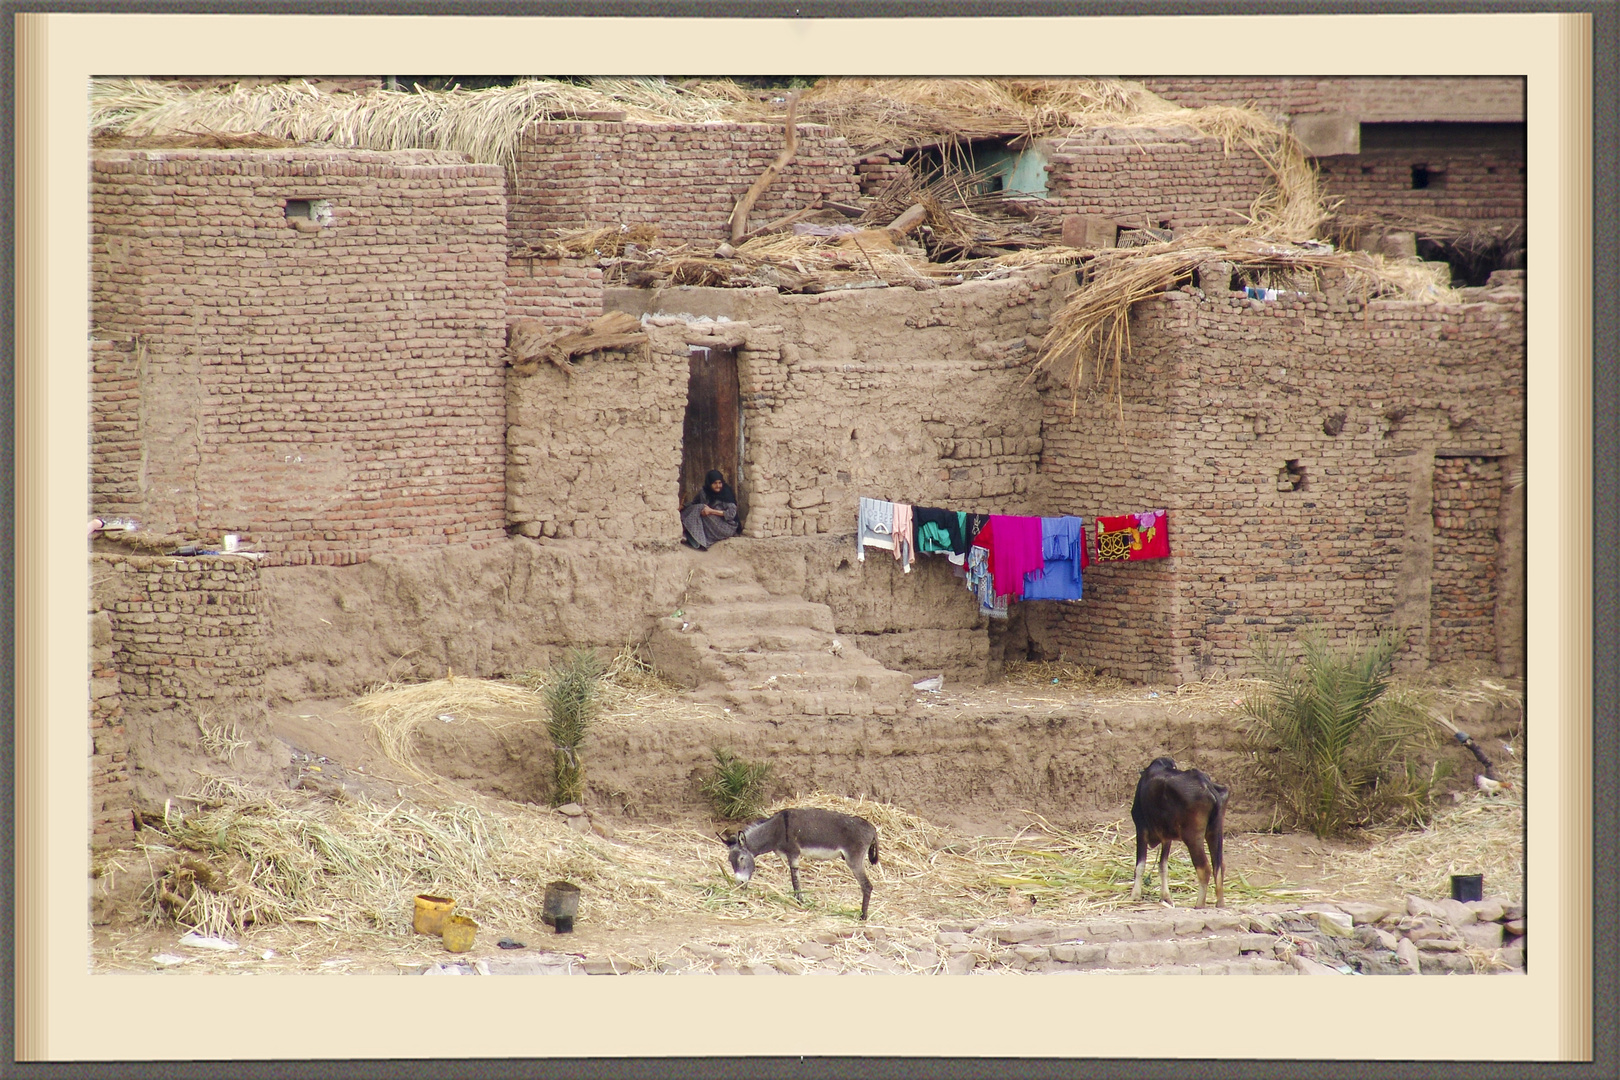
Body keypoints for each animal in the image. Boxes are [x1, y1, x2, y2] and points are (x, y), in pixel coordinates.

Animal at [1127, 761, 1224, 913]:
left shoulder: (1141, 830)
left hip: (1193, 838)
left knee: (1204, 868)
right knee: (1218, 868)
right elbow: (1163, 866)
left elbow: (1140, 865)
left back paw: (1199, 904)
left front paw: (1135, 895)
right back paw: (1220, 904)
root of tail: (1208, 787)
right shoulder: (1167, 839)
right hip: (1215, 832)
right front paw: (1166, 897)